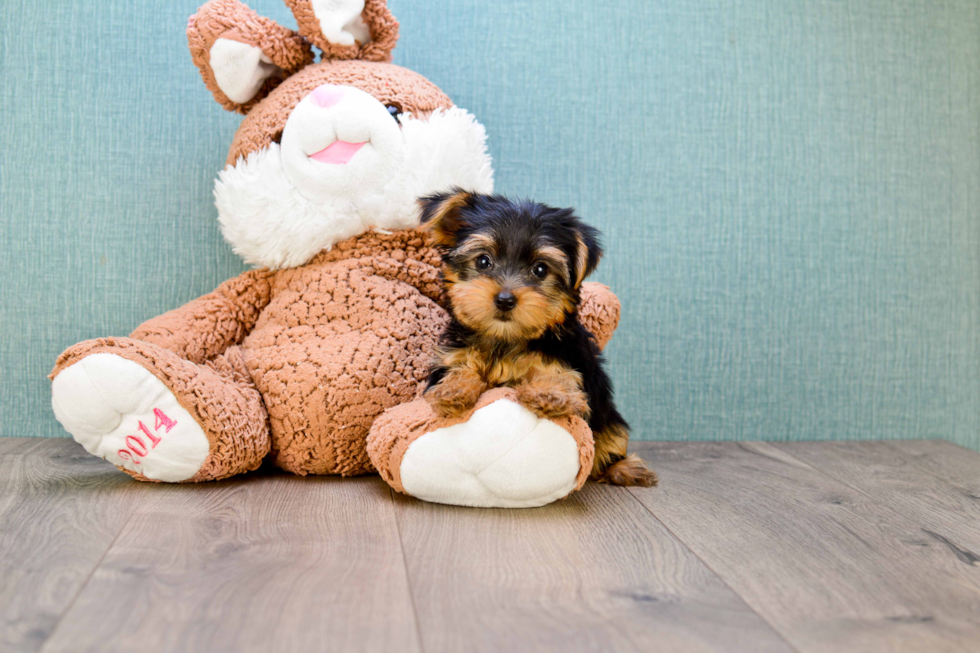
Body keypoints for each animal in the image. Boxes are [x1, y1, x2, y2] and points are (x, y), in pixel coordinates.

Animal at [418, 188, 656, 484]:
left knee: (609, 443)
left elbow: (559, 375)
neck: (505, 339)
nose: (505, 299)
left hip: (609, 419)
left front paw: (548, 393)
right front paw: (453, 389)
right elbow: (459, 368)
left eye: (540, 269)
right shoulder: (453, 354)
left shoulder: (566, 358)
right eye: (483, 261)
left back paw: (624, 468)